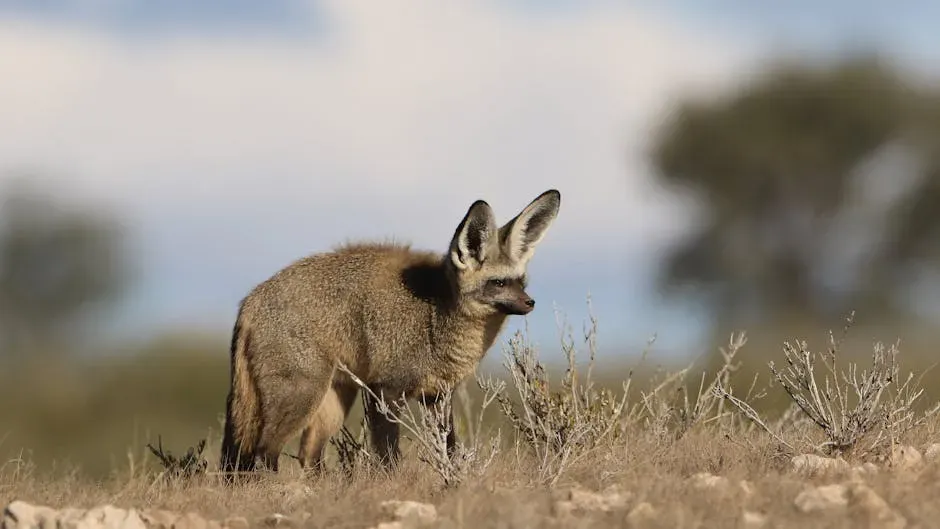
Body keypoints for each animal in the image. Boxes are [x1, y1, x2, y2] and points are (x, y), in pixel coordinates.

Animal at [219, 189, 561, 476]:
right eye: (499, 283)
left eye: (521, 282)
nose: (530, 303)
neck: (436, 319)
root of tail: (250, 300)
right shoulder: (384, 390)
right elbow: (389, 458)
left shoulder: (438, 396)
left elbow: (450, 453)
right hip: (302, 397)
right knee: (263, 454)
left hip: (332, 402)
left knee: (307, 457)